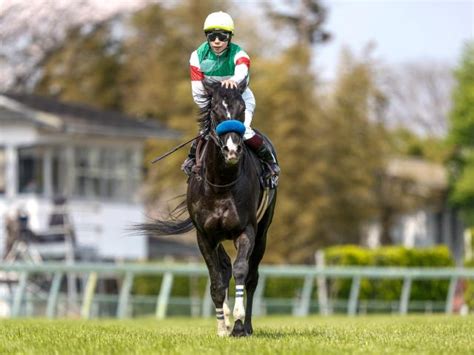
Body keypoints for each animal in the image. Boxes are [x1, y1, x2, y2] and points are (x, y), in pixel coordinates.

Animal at [143, 79, 280, 338]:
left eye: (242, 110)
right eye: (215, 111)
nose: (232, 150)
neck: (221, 184)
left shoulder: (246, 230)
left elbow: (241, 270)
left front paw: (238, 323)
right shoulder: (205, 235)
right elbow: (216, 280)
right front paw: (222, 326)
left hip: (264, 231)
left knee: (252, 276)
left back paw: (247, 325)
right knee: (224, 268)